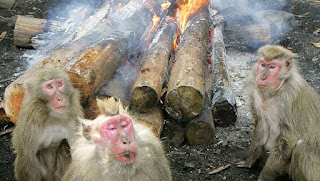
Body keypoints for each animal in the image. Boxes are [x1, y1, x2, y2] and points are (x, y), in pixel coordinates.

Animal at [236, 44, 320, 180]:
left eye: (272, 67)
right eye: (263, 64)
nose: (262, 77)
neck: (274, 92)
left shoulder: (289, 99)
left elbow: (286, 141)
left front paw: (264, 177)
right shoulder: (256, 94)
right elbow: (261, 125)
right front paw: (250, 161)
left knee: (301, 148)